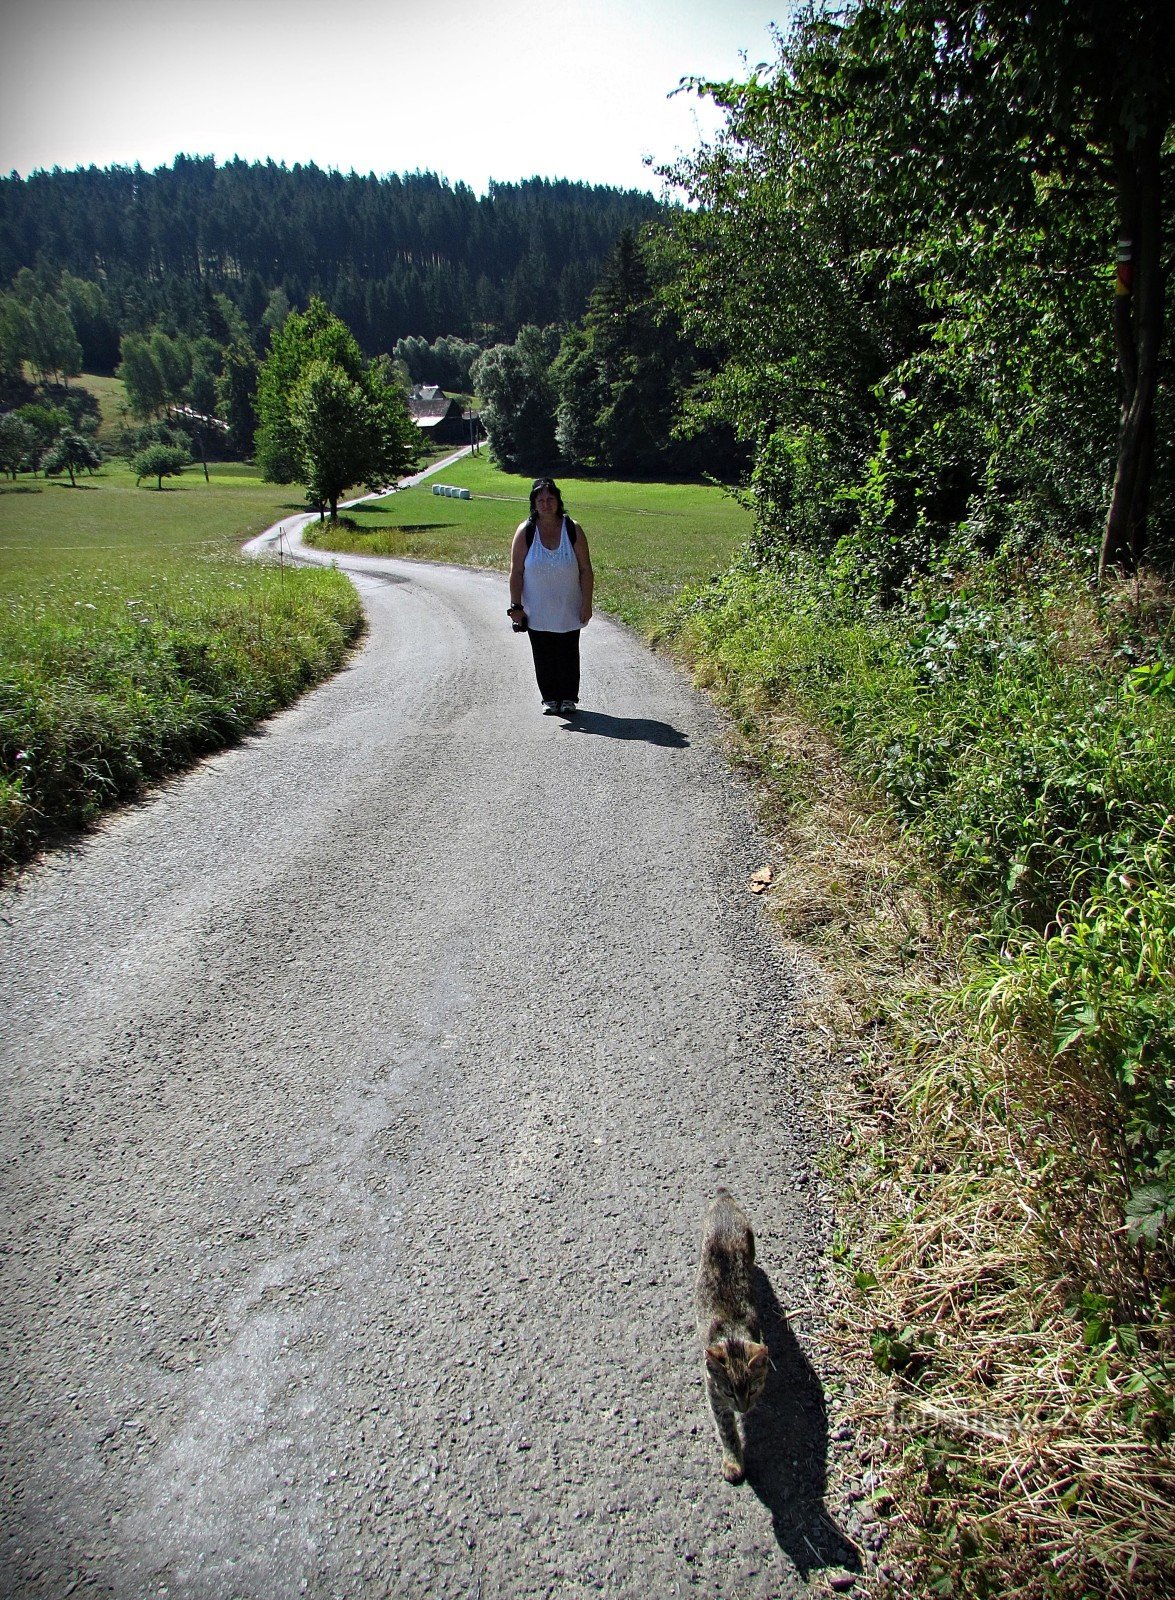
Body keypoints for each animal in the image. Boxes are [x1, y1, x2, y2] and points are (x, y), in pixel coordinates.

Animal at [694, 1190, 768, 1484]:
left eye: (753, 1389)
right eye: (729, 1392)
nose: (743, 1409)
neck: (732, 1337)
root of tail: (723, 1197)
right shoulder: (714, 1395)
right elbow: (726, 1430)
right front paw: (733, 1461)